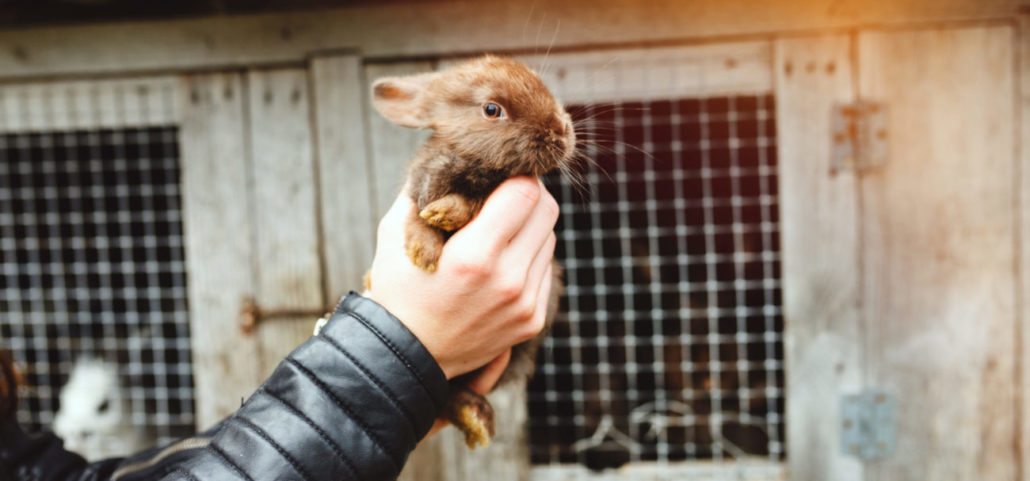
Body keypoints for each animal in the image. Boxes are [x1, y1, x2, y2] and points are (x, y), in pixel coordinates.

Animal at [370, 56, 576, 451]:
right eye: (492, 109)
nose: (562, 132)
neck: (472, 166)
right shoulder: (419, 188)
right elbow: (417, 220)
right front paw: (423, 252)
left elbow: (467, 206)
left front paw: (444, 214)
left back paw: (475, 417)